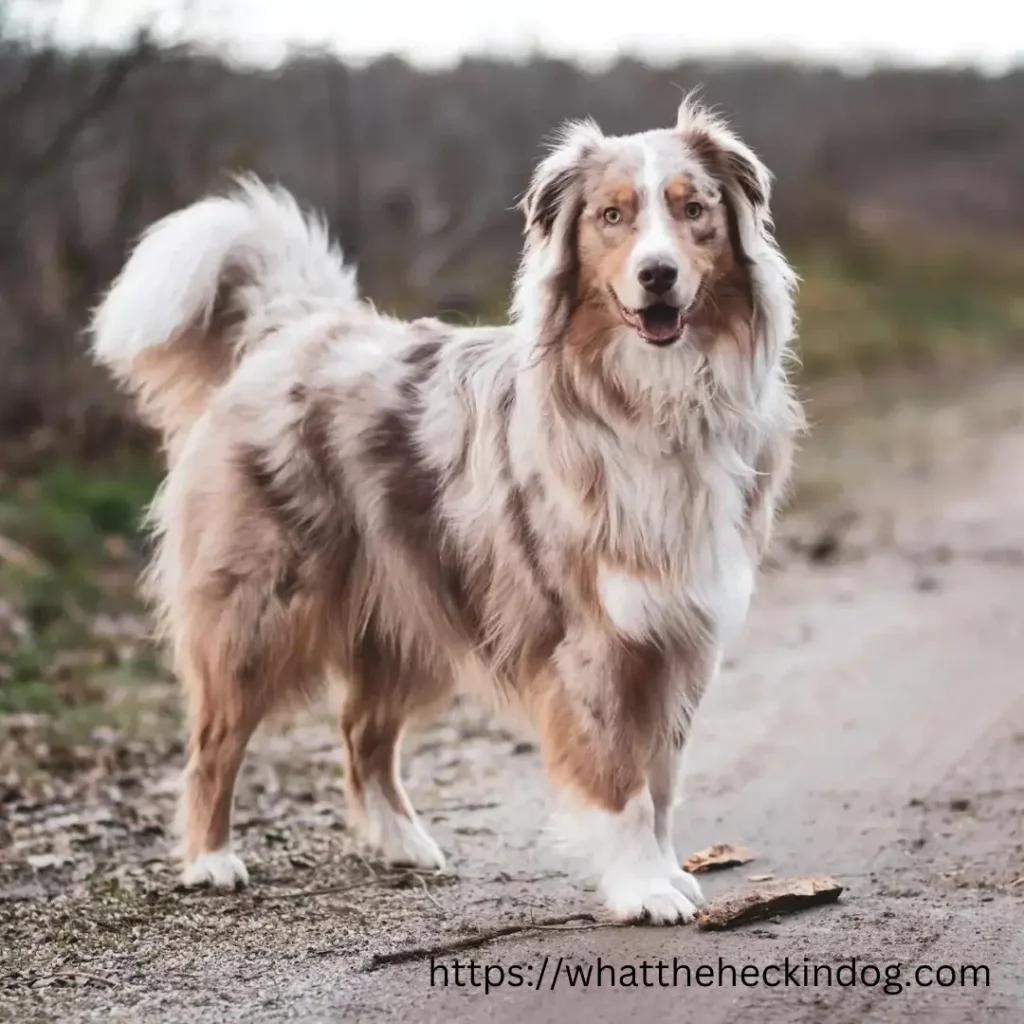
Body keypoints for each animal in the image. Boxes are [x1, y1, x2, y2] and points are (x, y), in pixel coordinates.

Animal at [92, 97, 802, 929]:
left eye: (694, 210)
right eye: (612, 216)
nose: (657, 275)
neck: (655, 397)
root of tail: (295, 328)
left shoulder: (678, 635)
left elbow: (660, 780)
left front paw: (667, 873)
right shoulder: (596, 640)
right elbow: (622, 782)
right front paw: (642, 889)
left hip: (414, 607)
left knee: (361, 731)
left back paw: (404, 843)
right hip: (260, 610)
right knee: (215, 739)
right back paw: (210, 860)